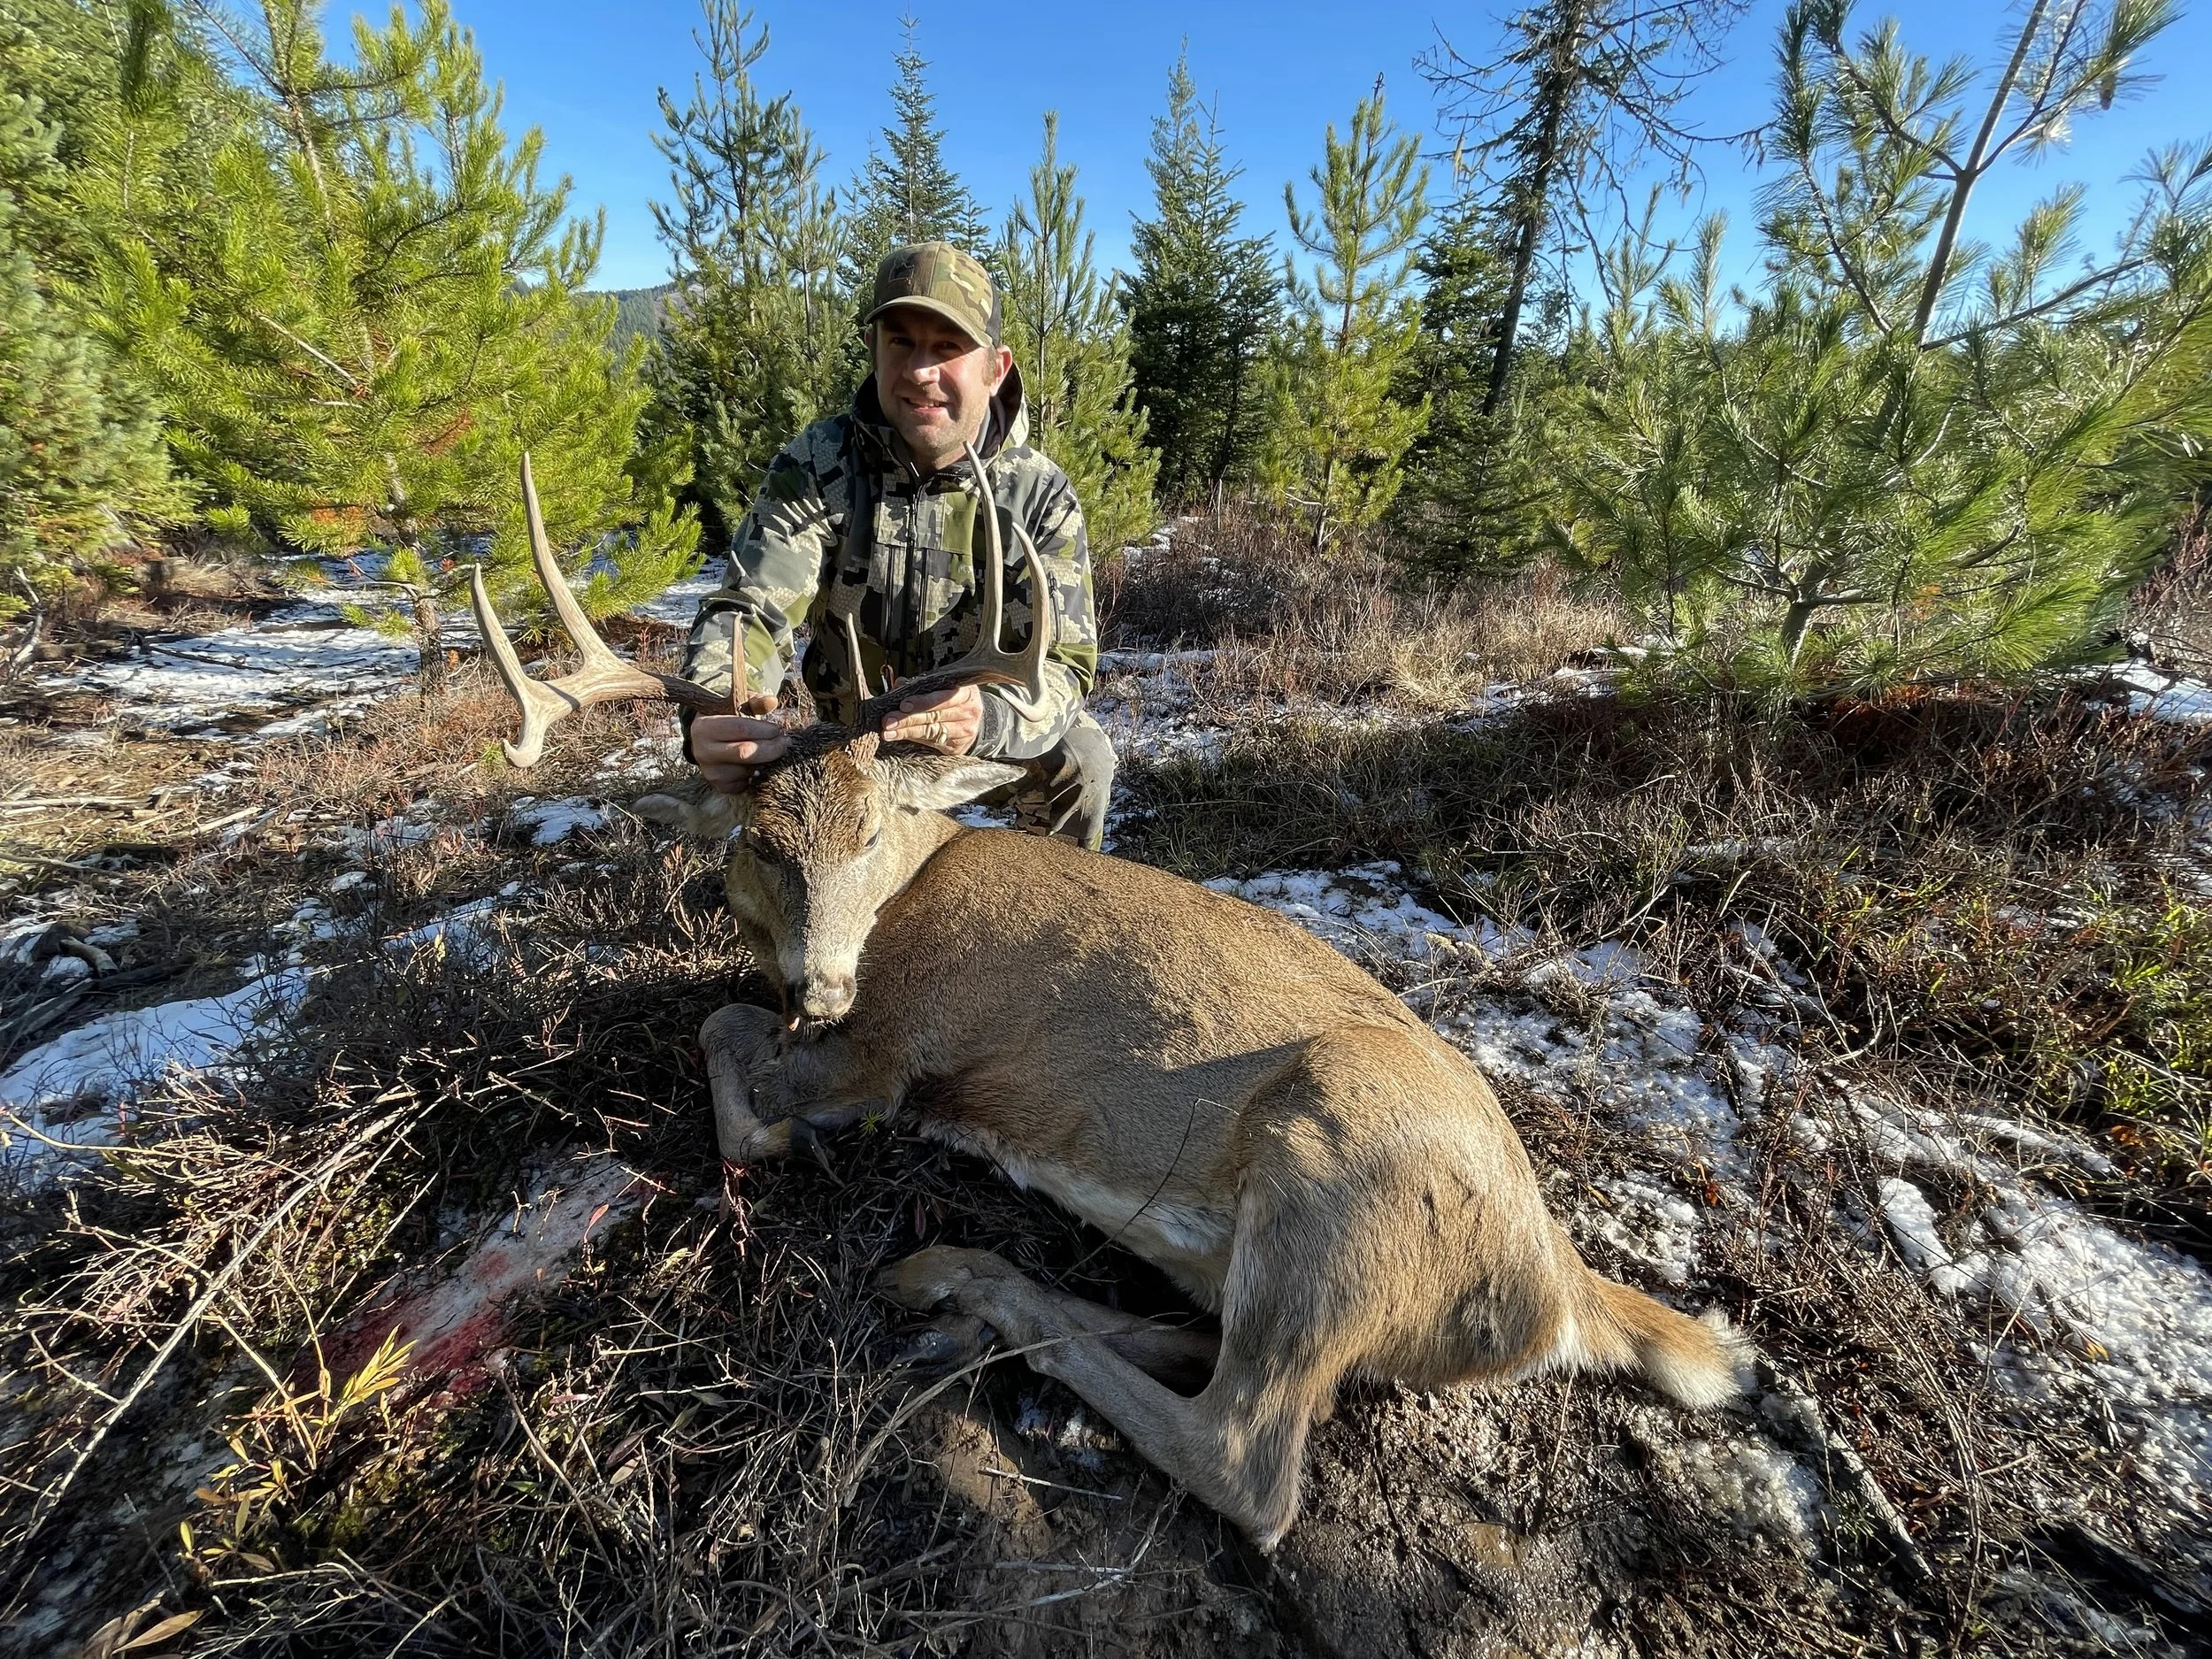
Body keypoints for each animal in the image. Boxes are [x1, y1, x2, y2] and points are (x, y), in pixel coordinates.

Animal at [469, 455, 1744, 1550]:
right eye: (760, 844)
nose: (820, 982)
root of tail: (1557, 1289)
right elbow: (727, 1012)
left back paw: (974, 1292)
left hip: (1336, 1173)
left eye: (871, 830)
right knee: (1203, 1342)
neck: (902, 897)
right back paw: (969, 1287)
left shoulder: (889, 1049)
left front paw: (780, 1134)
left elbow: (724, 1027)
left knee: (1246, 1455)